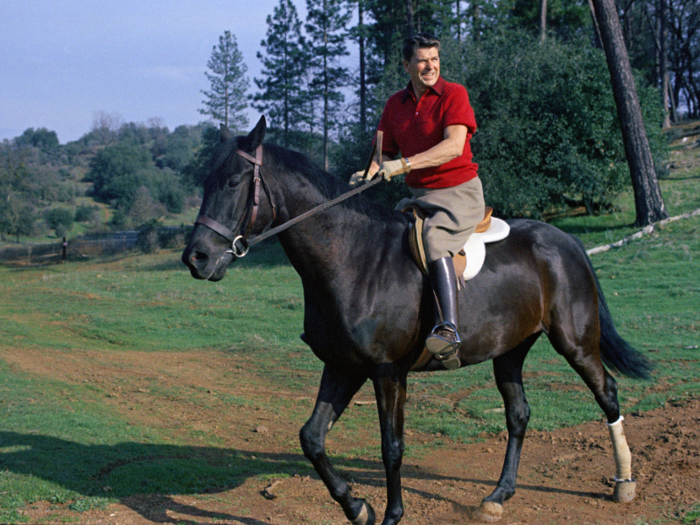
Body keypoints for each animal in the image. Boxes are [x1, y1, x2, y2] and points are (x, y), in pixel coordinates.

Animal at [185, 118, 652, 524]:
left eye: (233, 182)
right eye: (205, 182)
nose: (196, 258)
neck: (351, 256)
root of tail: (566, 240)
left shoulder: (387, 372)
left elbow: (392, 446)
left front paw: (392, 514)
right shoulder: (342, 366)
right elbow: (311, 438)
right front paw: (357, 508)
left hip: (575, 342)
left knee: (607, 393)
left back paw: (624, 483)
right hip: (510, 349)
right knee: (518, 413)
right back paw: (498, 496)